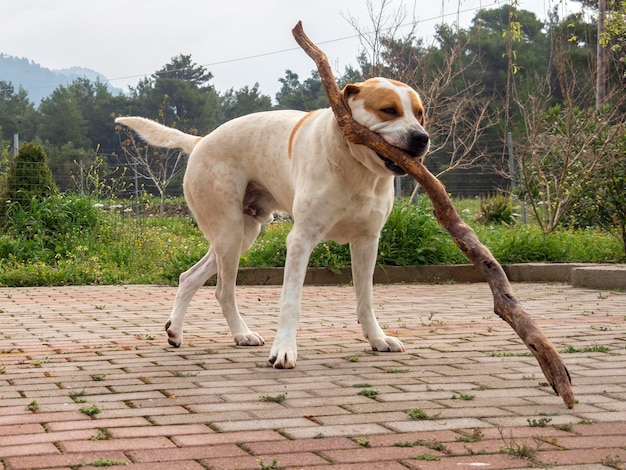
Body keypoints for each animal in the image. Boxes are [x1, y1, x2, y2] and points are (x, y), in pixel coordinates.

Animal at [114, 77, 426, 370]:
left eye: (420, 113)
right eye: (388, 110)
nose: (421, 138)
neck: (357, 168)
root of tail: (200, 141)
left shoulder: (367, 241)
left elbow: (365, 299)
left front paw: (378, 339)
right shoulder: (301, 240)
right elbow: (291, 302)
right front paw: (284, 350)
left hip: (241, 235)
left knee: (188, 277)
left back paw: (175, 331)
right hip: (228, 234)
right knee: (223, 291)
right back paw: (242, 334)